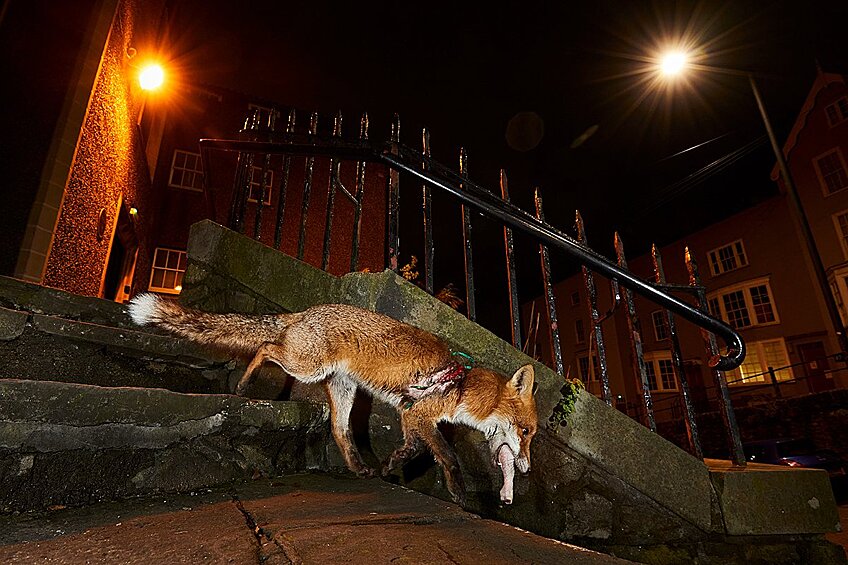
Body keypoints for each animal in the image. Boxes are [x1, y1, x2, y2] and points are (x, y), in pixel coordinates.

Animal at [126, 294, 536, 504]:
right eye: (527, 432)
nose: (528, 469)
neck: (462, 386)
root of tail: (305, 311)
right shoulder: (421, 414)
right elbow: (447, 455)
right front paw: (458, 491)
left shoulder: (410, 416)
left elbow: (413, 449)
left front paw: (390, 466)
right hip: (307, 366)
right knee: (266, 345)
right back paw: (245, 383)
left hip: (342, 390)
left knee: (340, 431)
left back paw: (358, 467)